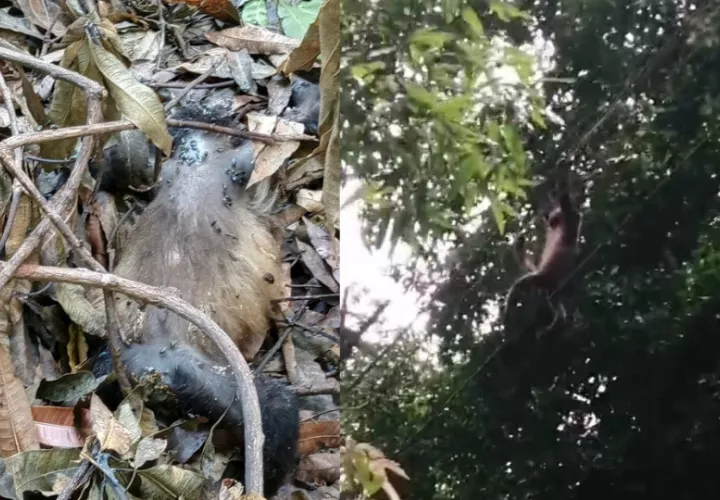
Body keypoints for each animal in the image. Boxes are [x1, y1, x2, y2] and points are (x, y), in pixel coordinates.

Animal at [502, 188, 582, 336]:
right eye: (553, 220)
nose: (551, 221)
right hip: (549, 283)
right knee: (552, 298)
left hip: (546, 279)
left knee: (523, 284)